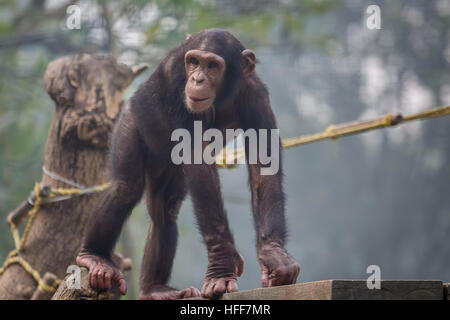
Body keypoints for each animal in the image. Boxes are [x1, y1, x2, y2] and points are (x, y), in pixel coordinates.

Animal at [77, 28, 300, 298]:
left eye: (212, 65)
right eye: (193, 62)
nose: (197, 79)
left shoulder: (256, 94)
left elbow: (263, 162)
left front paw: (273, 254)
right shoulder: (175, 79)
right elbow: (197, 157)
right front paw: (221, 267)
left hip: (168, 166)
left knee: (164, 210)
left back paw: (154, 288)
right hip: (132, 119)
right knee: (125, 188)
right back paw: (95, 257)